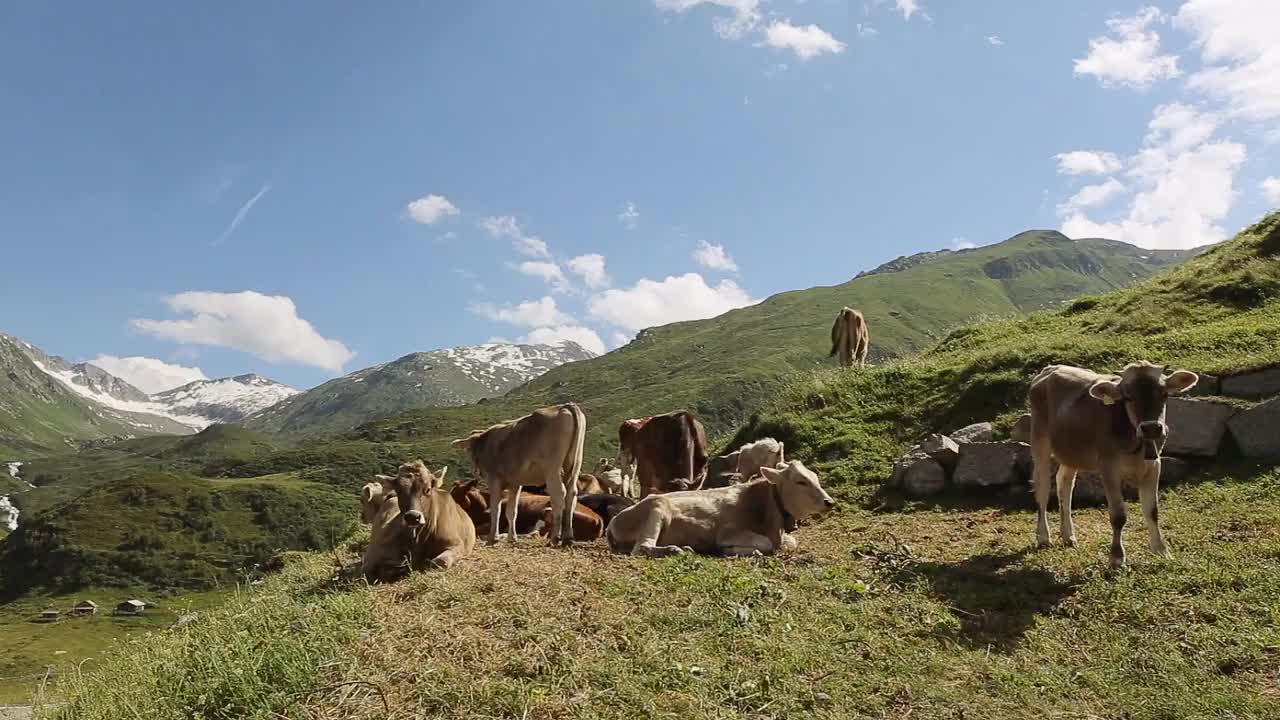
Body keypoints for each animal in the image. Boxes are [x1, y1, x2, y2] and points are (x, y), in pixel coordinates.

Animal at [453, 397, 586, 543]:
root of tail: (565, 406)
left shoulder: (494, 480)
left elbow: (496, 510)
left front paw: (493, 537)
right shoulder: (515, 483)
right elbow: (512, 511)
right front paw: (512, 537)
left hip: (552, 469)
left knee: (558, 494)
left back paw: (555, 537)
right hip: (575, 466)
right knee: (571, 494)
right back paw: (568, 536)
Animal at [609, 456, 839, 558]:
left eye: (814, 477)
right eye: (801, 481)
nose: (829, 502)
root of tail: (613, 523)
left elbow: (791, 542)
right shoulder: (728, 532)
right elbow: (764, 544)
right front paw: (732, 550)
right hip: (657, 505)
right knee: (641, 548)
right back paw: (675, 549)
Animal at [1029, 361, 1198, 568]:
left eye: (1164, 394)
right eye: (1128, 397)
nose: (1151, 428)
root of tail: (1050, 368)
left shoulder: (1154, 466)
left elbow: (1152, 511)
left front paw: (1161, 550)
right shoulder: (1108, 468)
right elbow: (1118, 516)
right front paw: (1117, 558)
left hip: (1071, 451)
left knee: (1064, 484)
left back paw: (1068, 536)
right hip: (1040, 441)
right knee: (1043, 489)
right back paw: (1043, 537)